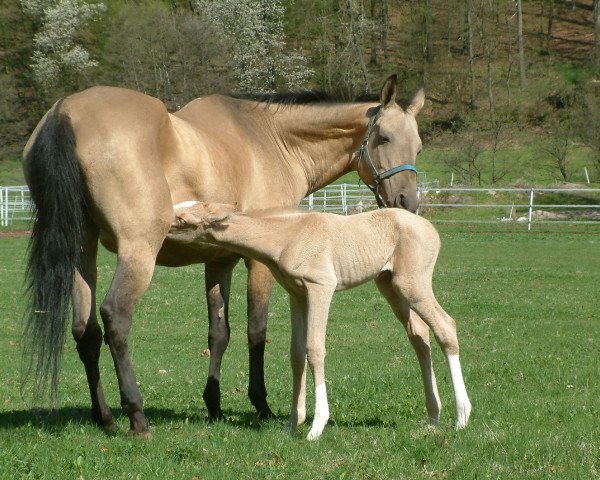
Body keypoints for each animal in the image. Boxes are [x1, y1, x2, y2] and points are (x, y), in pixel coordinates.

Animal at [23, 74, 424, 436]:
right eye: (384, 138)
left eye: (418, 147)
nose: (407, 203)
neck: (273, 140)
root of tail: (65, 111)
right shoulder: (260, 263)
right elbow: (256, 331)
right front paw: (261, 406)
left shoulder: (218, 260)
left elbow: (219, 333)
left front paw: (213, 405)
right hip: (137, 253)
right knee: (116, 319)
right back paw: (137, 417)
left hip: (81, 252)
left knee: (85, 330)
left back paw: (104, 417)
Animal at [166, 201, 472, 440]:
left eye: (182, 219)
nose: (160, 222)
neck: (287, 237)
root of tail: (430, 229)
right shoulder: (297, 294)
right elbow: (296, 354)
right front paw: (292, 424)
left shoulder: (321, 287)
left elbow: (315, 349)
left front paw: (316, 426)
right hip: (390, 284)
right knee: (419, 335)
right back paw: (433, 418)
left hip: (413, 284)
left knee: (445, 327)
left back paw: (461, 417)